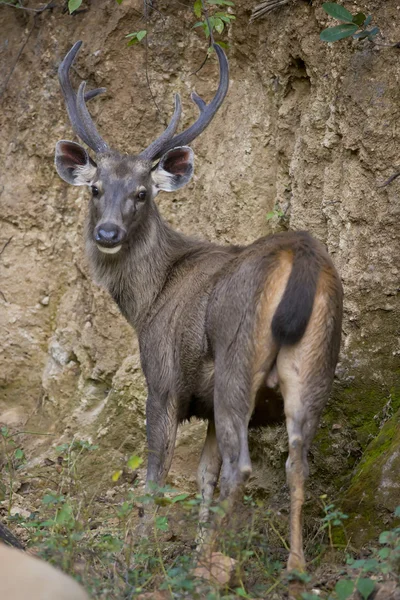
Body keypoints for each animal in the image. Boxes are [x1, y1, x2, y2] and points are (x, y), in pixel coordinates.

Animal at [54, 41, 344, 572]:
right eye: (96, 188)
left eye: (142, 193)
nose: (108, 232)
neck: (147, 300)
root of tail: (303, 257)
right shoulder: (205, 404)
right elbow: (202, 474)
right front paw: (194, 541)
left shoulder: (165, 379)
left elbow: (157, 473)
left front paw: (137, 551)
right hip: (316, 359)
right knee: (296, 462)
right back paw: (293, 567)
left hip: (237, 358)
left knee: (241, 466)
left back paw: (210, 566)